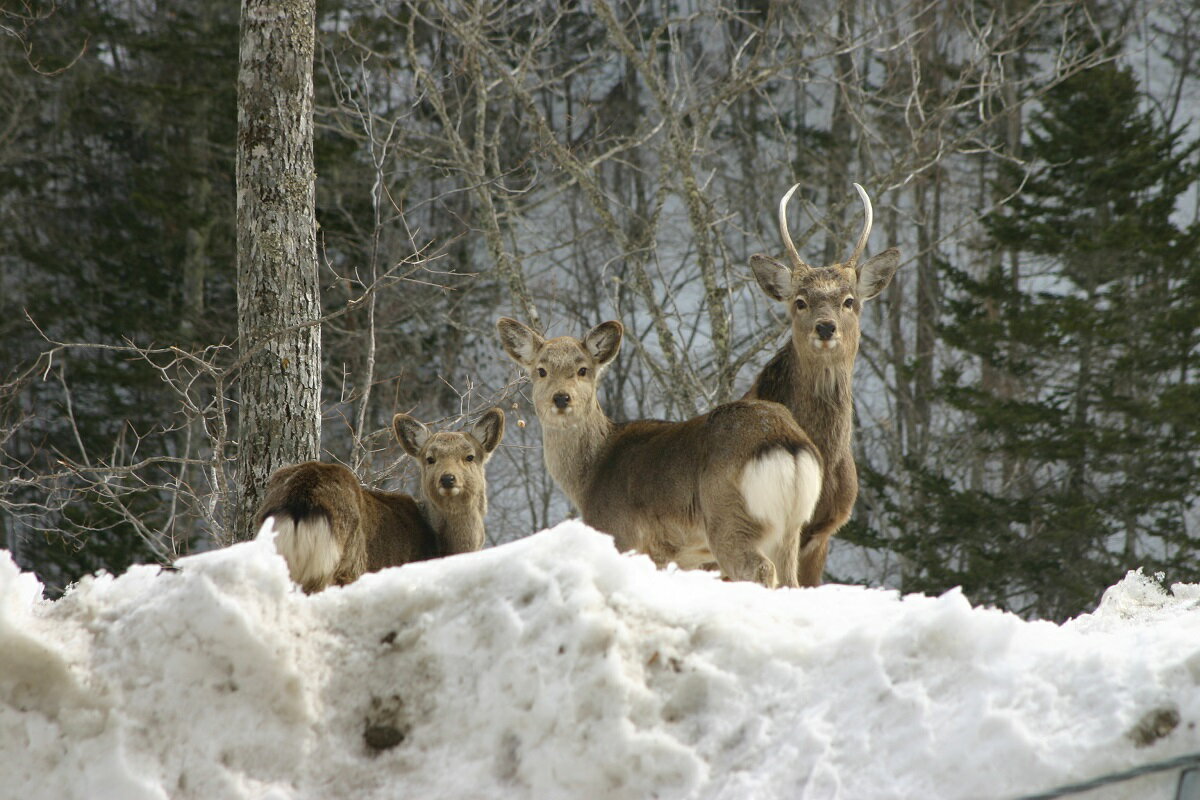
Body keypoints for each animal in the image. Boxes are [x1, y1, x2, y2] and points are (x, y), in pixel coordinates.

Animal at [258, 410, 506, 592]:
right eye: (430, 459)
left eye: (470, 456)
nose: (447, 478)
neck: (442, 548)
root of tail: (300, 500)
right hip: (342, 568)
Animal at [496, 316, 825, 587]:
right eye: (541, 370)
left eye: (583, 370)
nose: (561, 398)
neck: (589, 477)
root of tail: (787, 442)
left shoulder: (621, 534)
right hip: (791, 529)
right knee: (792, 580)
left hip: (730, 515)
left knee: (760, 569)